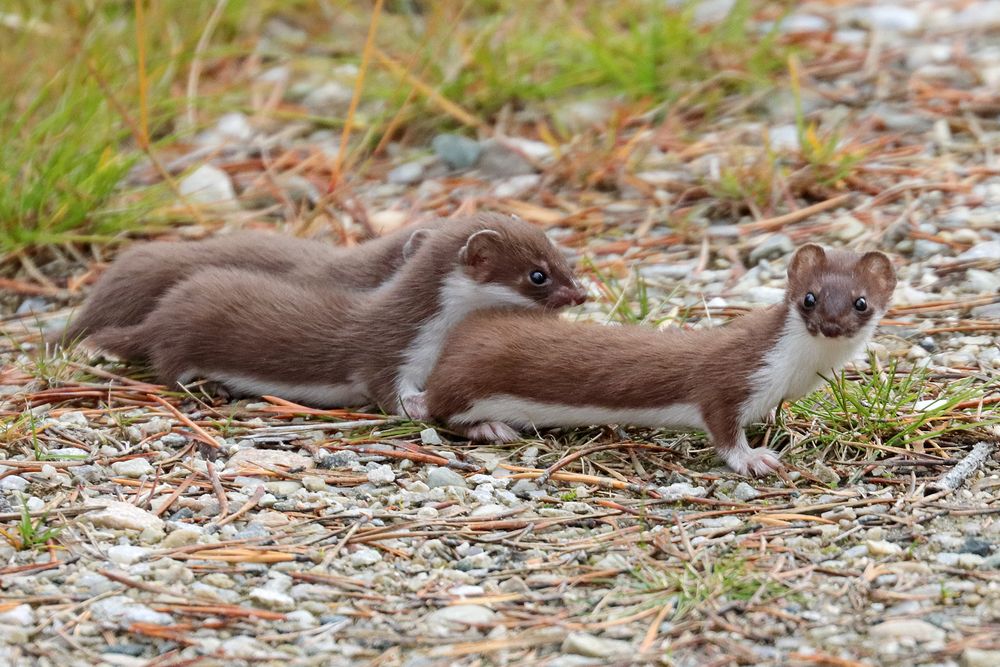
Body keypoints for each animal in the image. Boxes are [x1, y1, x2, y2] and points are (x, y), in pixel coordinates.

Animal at [422, 244, 900, 474]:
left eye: (860, 302)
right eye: (809, 298)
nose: (832, 324)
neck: (798, 371)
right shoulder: (732, 379)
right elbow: (721, 425)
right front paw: (754, 459)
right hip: (465, 383)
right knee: (441, 409)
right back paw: (490, 427)